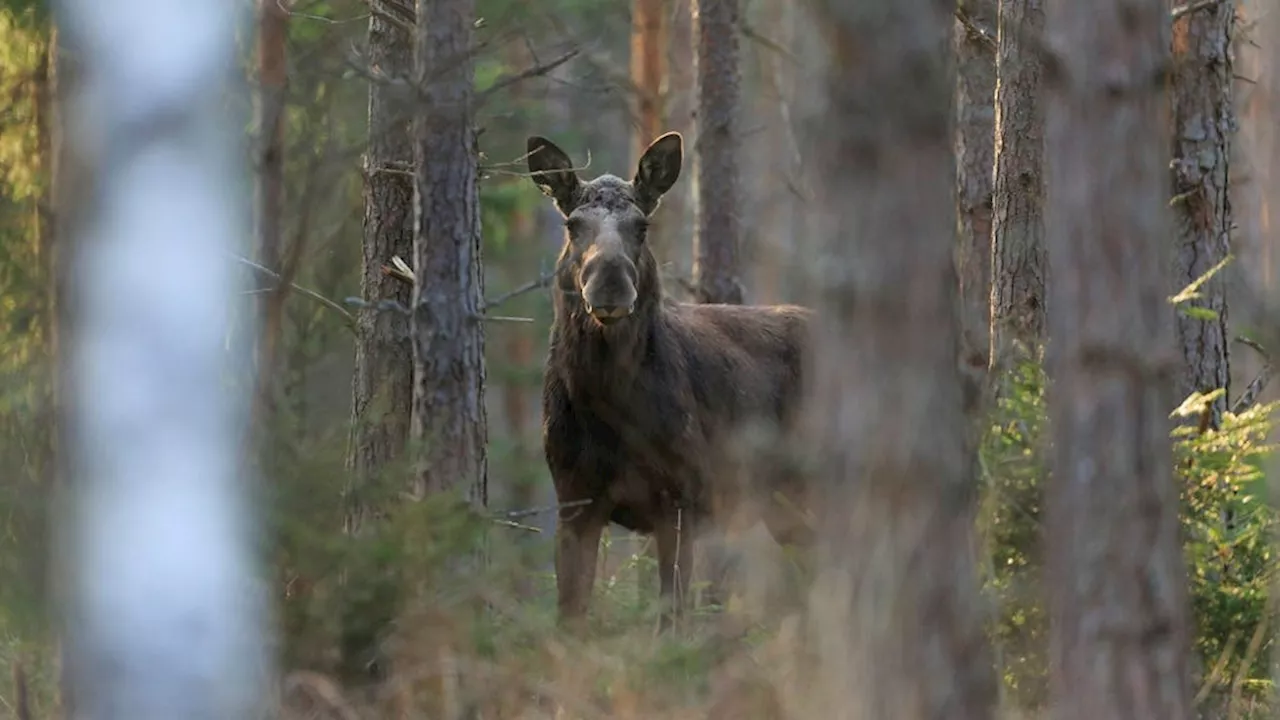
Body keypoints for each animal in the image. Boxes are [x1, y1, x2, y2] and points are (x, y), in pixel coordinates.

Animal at [527, 128, 808, 627]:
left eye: (642, 226)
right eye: (572, 225)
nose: (610, 282)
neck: (609, 411)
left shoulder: (681, 499)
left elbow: (672, 618)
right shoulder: (574, 501)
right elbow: (570, 616)